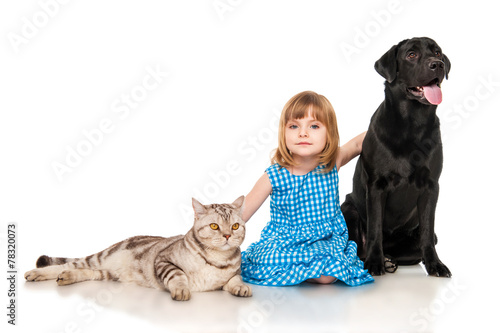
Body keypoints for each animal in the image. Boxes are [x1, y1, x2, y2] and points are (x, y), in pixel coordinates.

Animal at [24, 196, 250, 300]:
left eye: (235, 226)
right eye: (214, 226)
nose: (227, 235)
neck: (218, 260)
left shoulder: (232, 274)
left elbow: (234, 279)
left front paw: (241, 287)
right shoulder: (163, 260)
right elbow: (177, 276)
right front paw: (181, 289)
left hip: (108, 273)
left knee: (87, 272)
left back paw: (67, 277)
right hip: (100, 257)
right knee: (68, 265)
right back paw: (37, 273)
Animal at [342, 36, 452, 276]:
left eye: (437, 52)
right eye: (411, 55)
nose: (437, 65)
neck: (413, 123)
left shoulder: (431, 186)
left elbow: (427, 231)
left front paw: (435, 265)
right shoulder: (376, 185)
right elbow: (375, 228)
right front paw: (374, 263)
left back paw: (390, 259)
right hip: (349, 209)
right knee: (355, 249)